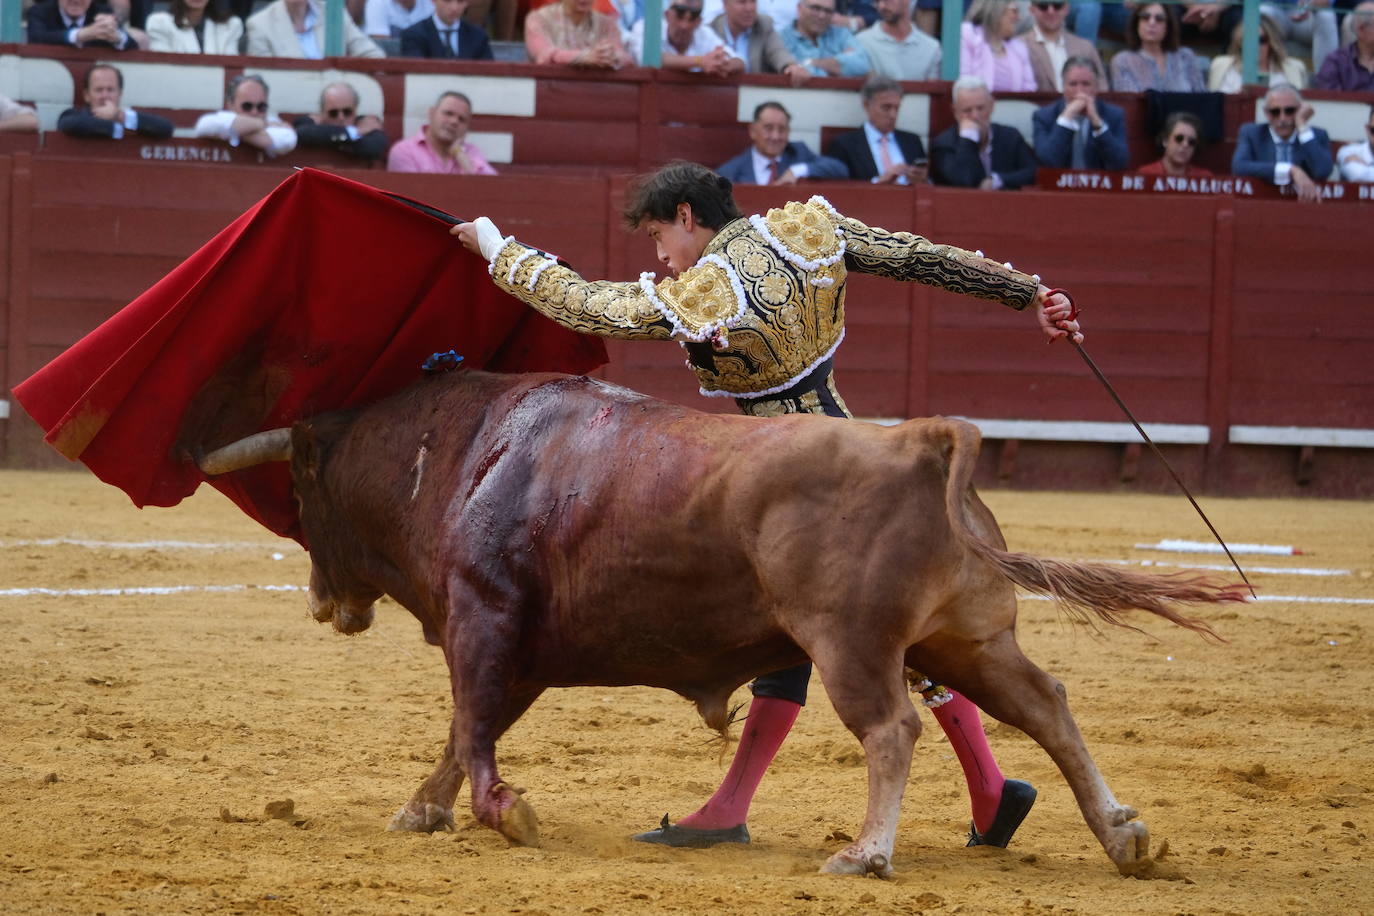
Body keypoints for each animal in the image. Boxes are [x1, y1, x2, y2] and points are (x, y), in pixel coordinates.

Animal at [203, 368, 1247, 878]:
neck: (462, 450)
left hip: (852, 643)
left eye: (300, 490)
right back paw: (1121, 837)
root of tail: (921, 439)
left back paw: (865, 854)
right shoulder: (520, 647)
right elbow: (469, 729)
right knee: (1046, 707)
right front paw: (424, 808)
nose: (323, 602)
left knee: (893, 728)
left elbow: (474, 725)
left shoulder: (484, 616)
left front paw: (506, 815)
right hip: (970, 636)